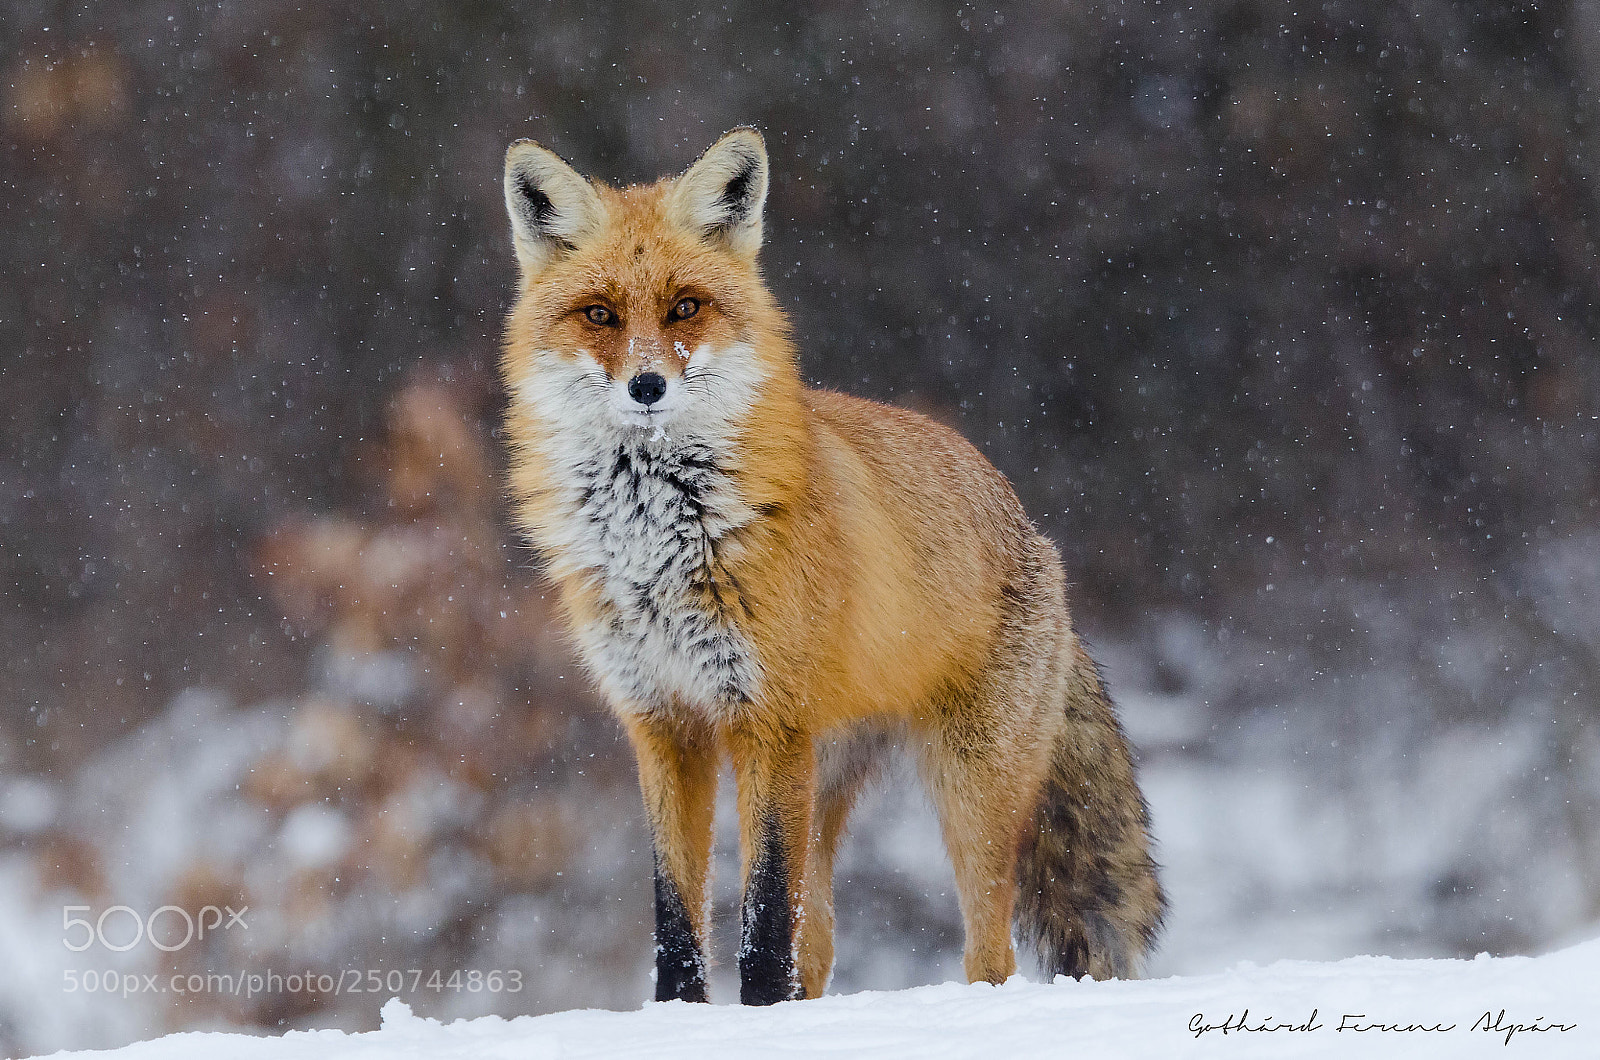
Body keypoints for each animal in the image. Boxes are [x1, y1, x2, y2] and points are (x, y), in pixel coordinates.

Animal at [497, 127, 1165, 1006]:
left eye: (685, 307)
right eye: (600, 315)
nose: (647, 385)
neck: (661, 540)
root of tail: (1036, 532)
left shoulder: (765, 721)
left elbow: (761, 930)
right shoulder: (664, 725)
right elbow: (678, 926)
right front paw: (682, 1017)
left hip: (965, 793)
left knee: (987, 957)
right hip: (824, 783)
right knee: (819, 948)